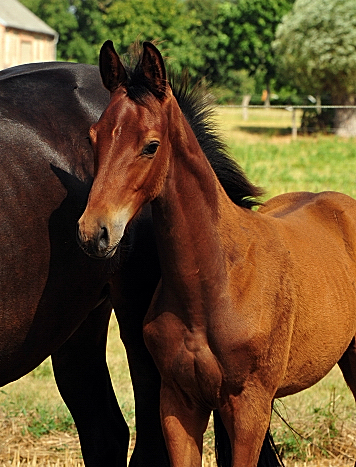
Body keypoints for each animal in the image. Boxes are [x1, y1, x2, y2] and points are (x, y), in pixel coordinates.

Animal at [78, 40, 356, 467]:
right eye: (95, 137)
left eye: (151, 146)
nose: (95, 232)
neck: (216, 283)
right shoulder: (179, 403)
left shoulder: (248, 408)